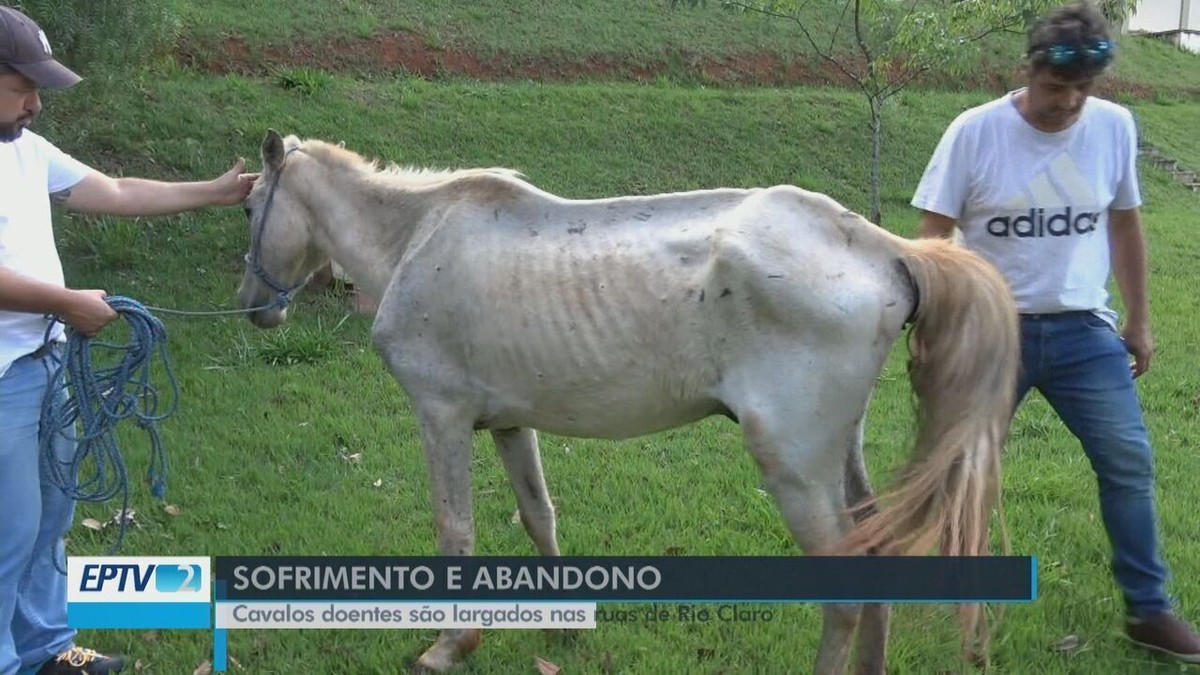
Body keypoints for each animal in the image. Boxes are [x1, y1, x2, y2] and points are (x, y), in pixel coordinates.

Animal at [236, 128, 1022, 667]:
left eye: (249, 206)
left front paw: (449, 644)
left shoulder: (442, 417)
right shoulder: (510, 424)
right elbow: (538, 515)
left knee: (844, 590)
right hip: (839, 454)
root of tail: (883, 248)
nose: (253, 307)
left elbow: (454, 530)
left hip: (793, 465)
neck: (417, 238)